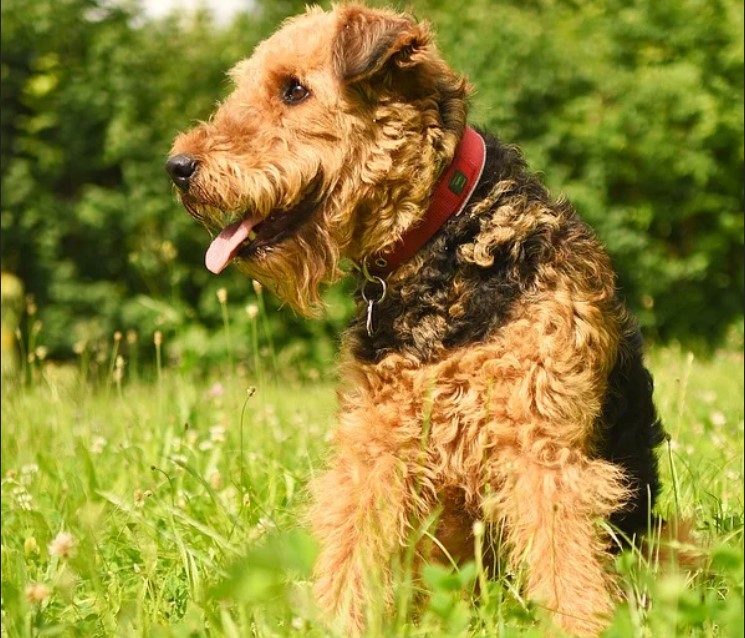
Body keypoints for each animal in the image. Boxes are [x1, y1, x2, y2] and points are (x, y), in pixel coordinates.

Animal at [166, 3, 664, 636]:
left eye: (294, 90)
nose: (179, 166)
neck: (441, 237)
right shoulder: (375, 444)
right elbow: (350, 546)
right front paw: (334, 619)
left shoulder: (541, 444)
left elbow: (566, 560)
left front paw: (583, 624)